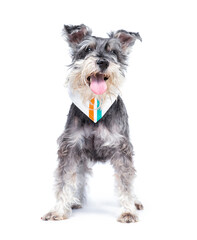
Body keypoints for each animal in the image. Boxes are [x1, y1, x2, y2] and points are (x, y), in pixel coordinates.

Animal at [41, 24, 143, 223]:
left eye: (114, 52)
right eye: (87, 49)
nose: (103, 62)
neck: (95, 102)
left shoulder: (122, 150)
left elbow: (126, 181)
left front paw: (128, 211)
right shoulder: (70, 148)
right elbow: (64, 180)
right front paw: (58, 210)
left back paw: (135, 202)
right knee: (80, 177)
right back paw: (74, 200)